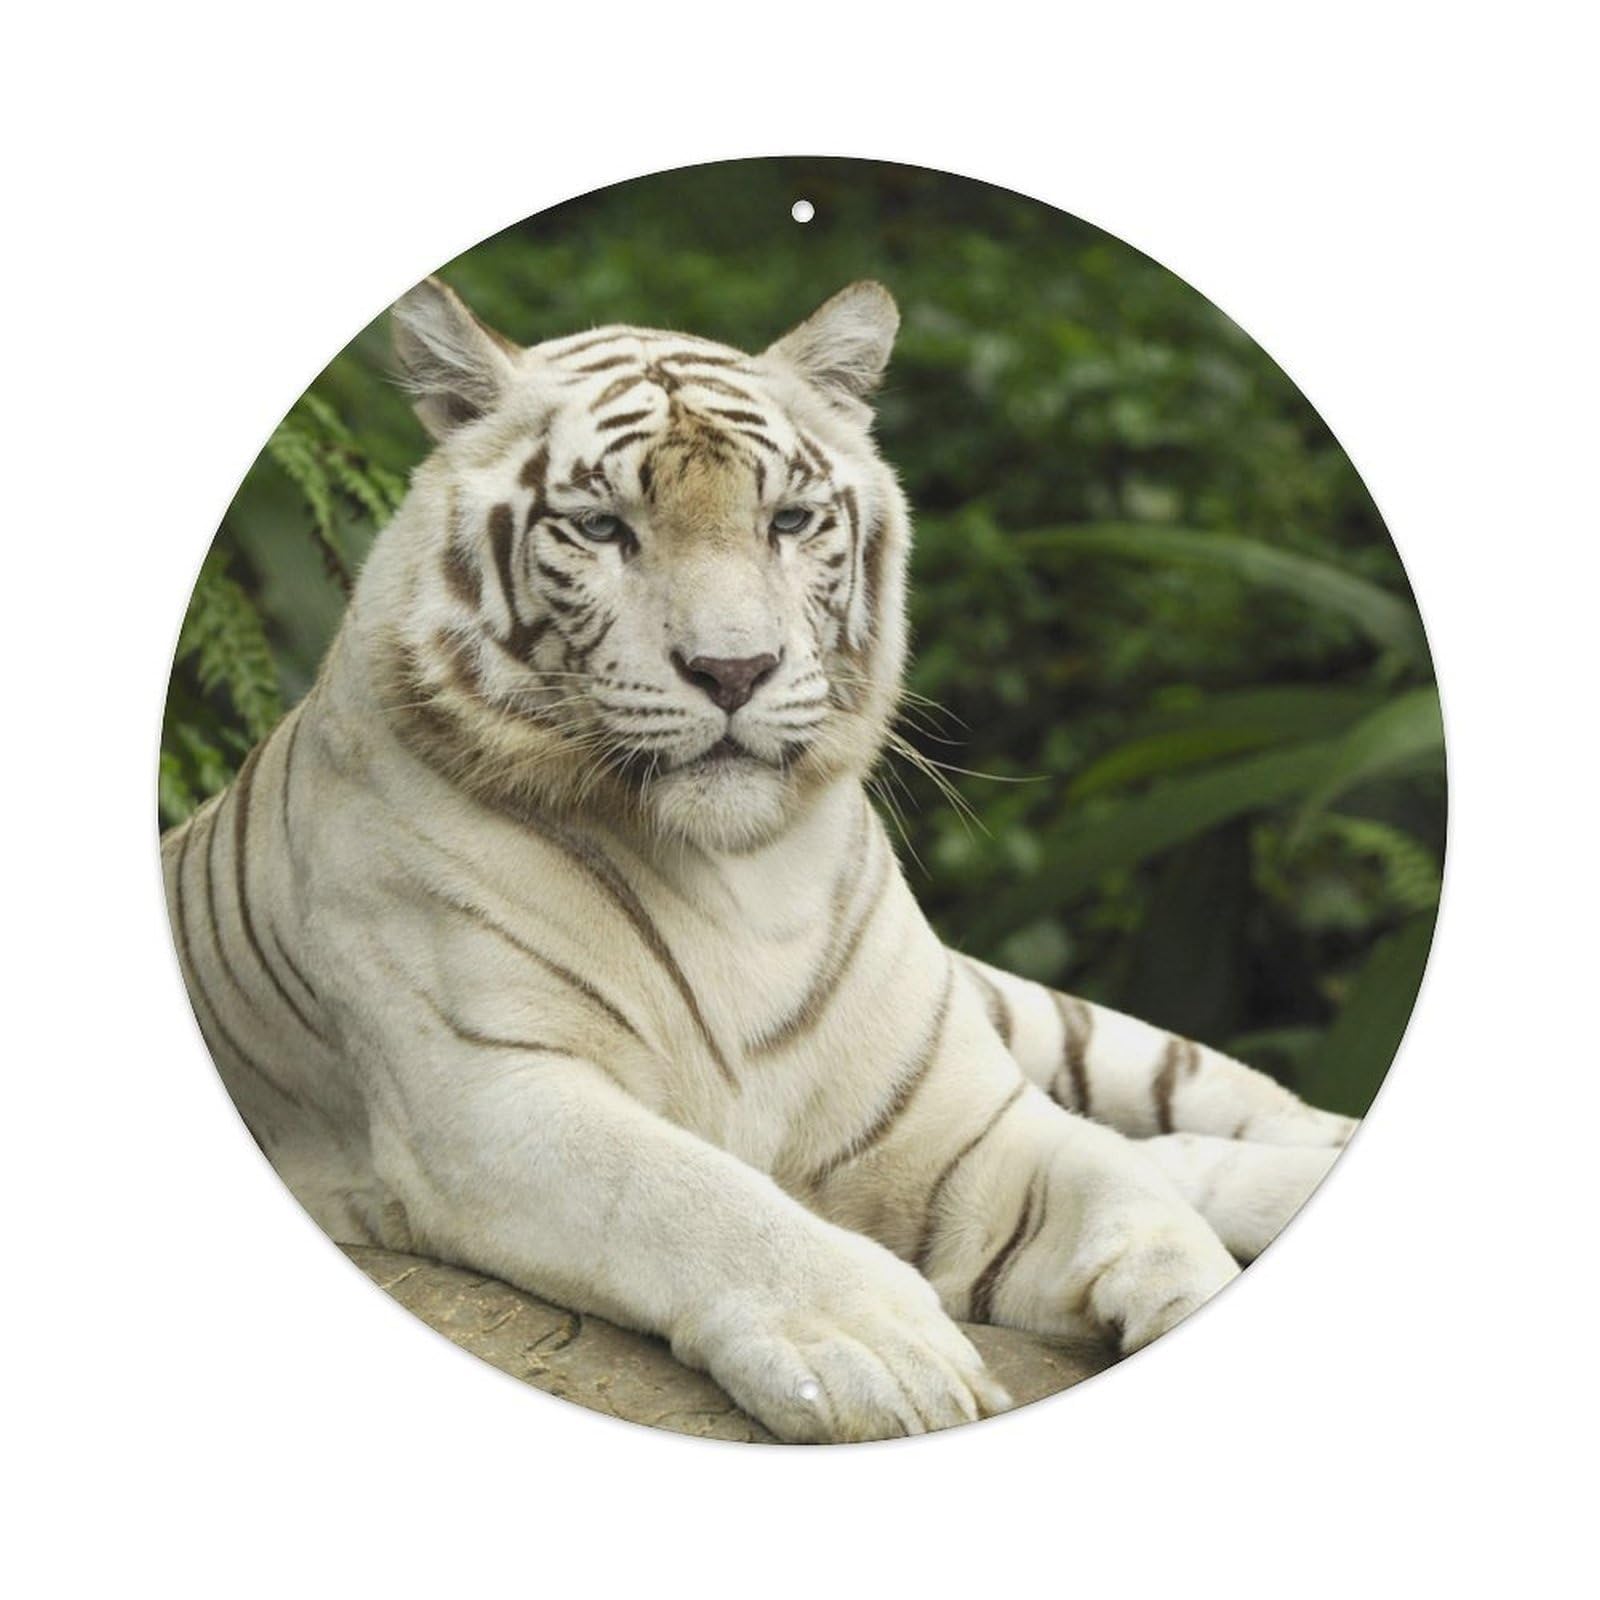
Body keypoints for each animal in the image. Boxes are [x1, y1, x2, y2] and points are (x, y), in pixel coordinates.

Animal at [161, 276, 1356, 1443]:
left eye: (788, 519)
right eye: (601, 527)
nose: (733, 669)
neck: (737, 878)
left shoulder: (963, 1121)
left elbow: (1114, 1183)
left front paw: (1187, 1292)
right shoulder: (487, 1095)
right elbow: (688, 1193)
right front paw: (885, 1353)